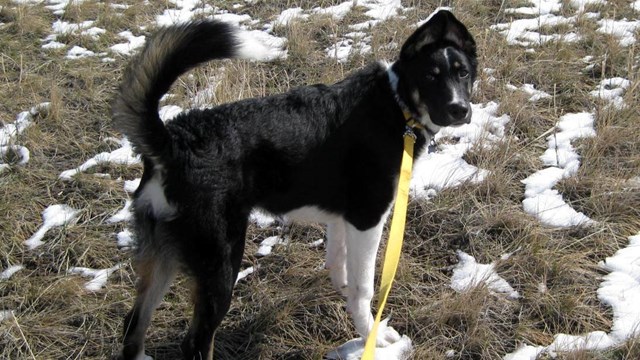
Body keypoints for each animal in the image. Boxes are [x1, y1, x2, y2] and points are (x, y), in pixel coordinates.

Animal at [114, 8, 476, 360]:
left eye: (462, 74)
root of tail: (173, 143)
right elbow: (363, 288)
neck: (397, 106)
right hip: (220, 261)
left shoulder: (343, 219)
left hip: (161, 256)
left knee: (132, 327)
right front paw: (371, 336)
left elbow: (340, 267)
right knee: (195, 343)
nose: (459, 110)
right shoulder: (367, 219)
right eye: (430, 76)